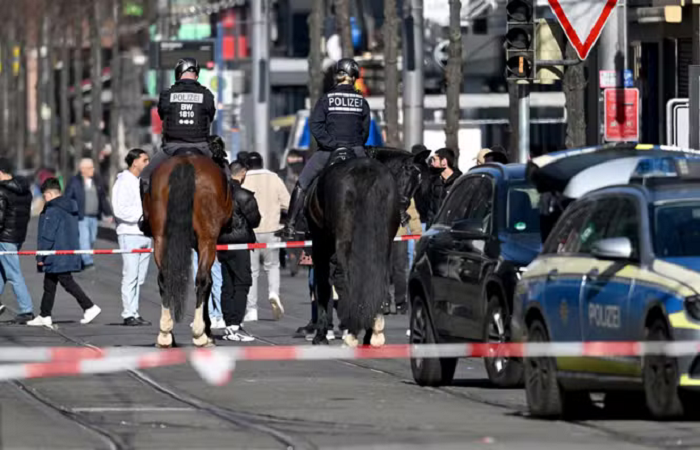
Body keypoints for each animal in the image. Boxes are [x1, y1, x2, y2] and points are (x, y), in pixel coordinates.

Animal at [144, 155, 234, 348]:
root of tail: (185, 161)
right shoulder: (204, 243)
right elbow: (208, 281)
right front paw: (207, 332)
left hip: (161, 237)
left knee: (165, 278)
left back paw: (165, 334)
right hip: (207, 239)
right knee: (202, 280)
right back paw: (199, 334)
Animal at [308, 146, 426, 346]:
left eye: (418, 182)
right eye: (407, 173)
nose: (404, 209)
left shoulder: (320, 242)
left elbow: (323, 284)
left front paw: (321, 334)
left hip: (340, 241)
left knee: (343, 276)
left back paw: (351, 331)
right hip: (382, 241)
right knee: (378, 277)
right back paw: (373, 330)